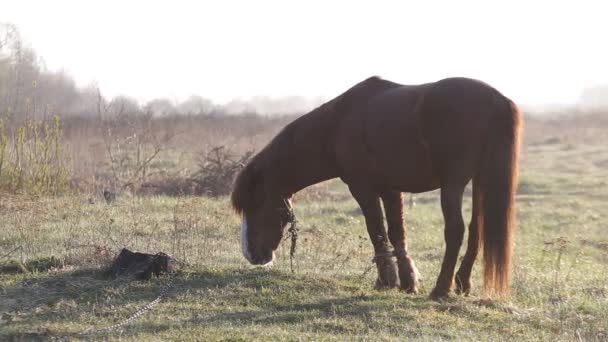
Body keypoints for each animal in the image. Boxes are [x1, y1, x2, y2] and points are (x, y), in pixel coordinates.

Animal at [230, 75, 520, 300]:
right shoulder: (390, 190)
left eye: (256, 203)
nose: (252, 255)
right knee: (475, 230)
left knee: (456, 230)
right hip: (479, 182)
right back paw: (461, 284)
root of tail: (495, 100)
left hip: (454, 184)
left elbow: (377, 231)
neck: (336, 124)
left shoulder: (363, 188)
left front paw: (386, 281)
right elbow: (397, 233)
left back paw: (440, 289)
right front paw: (407, 282)